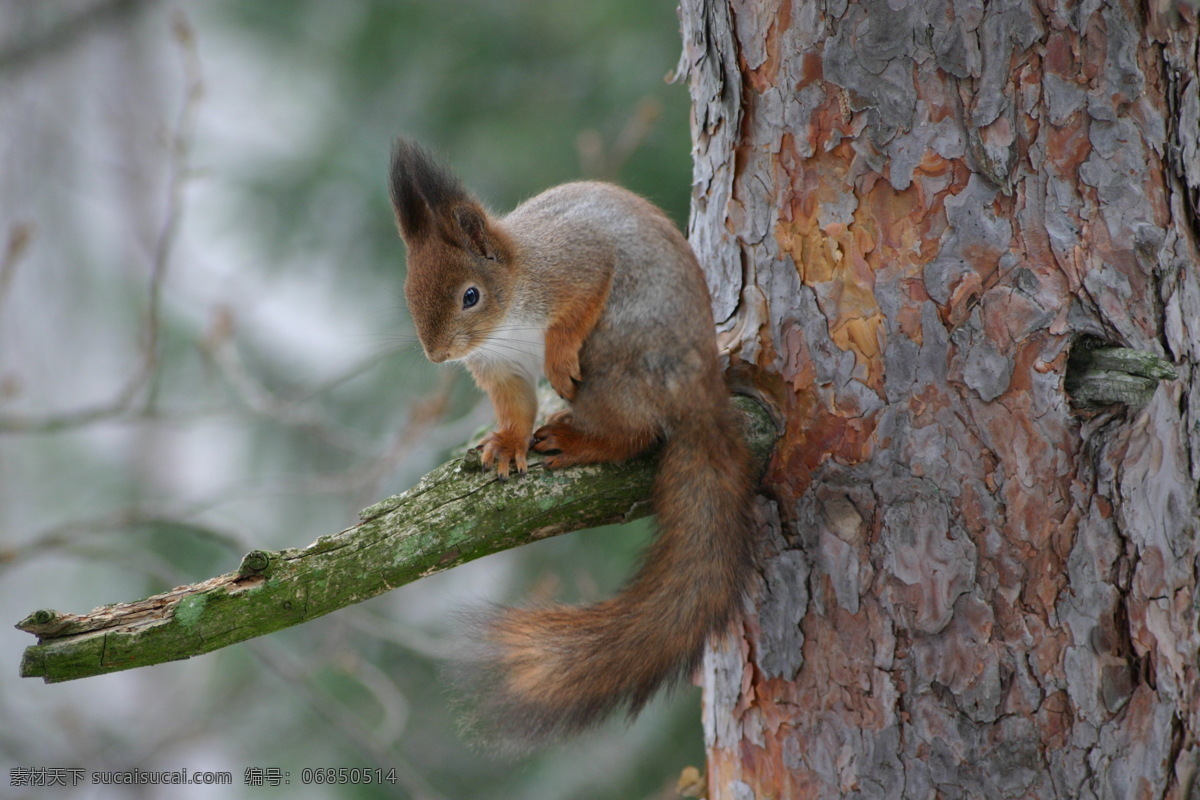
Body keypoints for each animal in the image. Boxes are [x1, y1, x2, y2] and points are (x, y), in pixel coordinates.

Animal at [388, 139, 753, 753]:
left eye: (470, 296)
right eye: (409, 292)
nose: (438, 355)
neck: (508, 315)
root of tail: (701, 397)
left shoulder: (576, 265)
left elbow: (583, 297)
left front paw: (557, 356)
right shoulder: (501, 369)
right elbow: (514, 408)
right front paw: (506, 445)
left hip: (619, 361)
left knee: (636, 434)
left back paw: (576, 438)